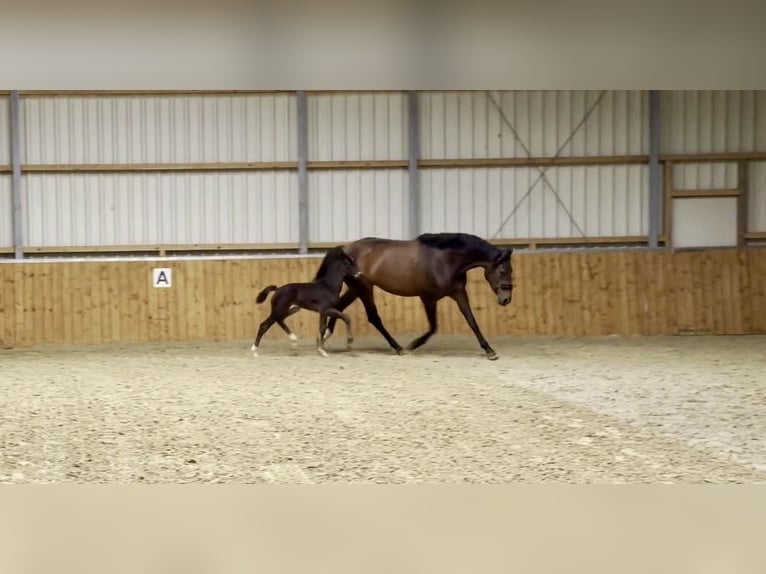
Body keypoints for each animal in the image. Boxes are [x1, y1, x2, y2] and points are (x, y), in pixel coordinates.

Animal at [324, 233, 516, 360]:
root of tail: (345, 249)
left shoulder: (459, 293)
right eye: (502, 271)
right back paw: (399, 348)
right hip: (364, 288)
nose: (506, 299)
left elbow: (471, 320)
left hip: (356, 289)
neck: (446, 260)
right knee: (373, 317)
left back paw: (327, 335)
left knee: (339, 306)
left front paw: (489, 350)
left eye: (511, 270)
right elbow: (433, 327)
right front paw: (412, 345)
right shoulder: (428, 298)